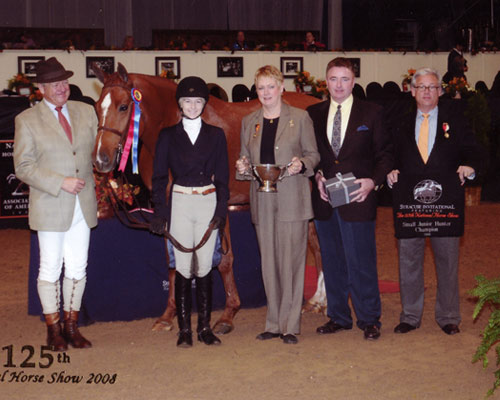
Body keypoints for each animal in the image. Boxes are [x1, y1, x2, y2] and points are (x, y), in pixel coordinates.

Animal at [91, 63, 324, 334]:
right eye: (97, 106)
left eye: (123, 106)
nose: (101, 160)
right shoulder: (169, 206)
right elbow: (174, 260)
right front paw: (167, 316)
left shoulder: (217, 206)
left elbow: (224, 260)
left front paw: (228, 315)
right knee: (316, 244)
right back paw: (316, 301)